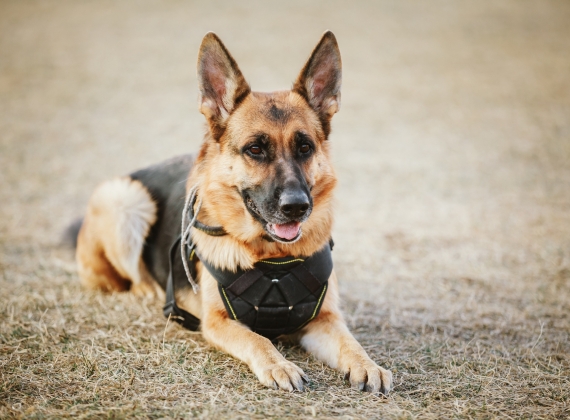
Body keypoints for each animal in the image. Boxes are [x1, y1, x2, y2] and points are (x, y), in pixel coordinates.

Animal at [75, 32, 390, 394]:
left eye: (305, 147)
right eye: (255, 149)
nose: (297, 206)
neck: (273, 260)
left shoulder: (325, 319)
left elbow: (351, 342)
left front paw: (369, 364)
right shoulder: (217, 322)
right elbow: (258, 340)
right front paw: (280, 365)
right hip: (124, 198)